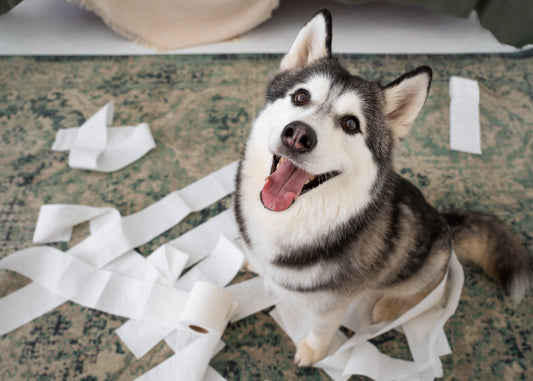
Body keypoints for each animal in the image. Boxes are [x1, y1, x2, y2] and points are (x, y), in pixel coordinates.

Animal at [234, 8, 532, 366]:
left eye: (351, 124)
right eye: (300, 97)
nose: (298, 135)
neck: (294, 218)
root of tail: (445, 222)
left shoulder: (331, 305)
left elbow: (321, 329)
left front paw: (313, 353)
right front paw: (252, 259)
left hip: (425, 269)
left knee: (435, 293)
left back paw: (392, 305)